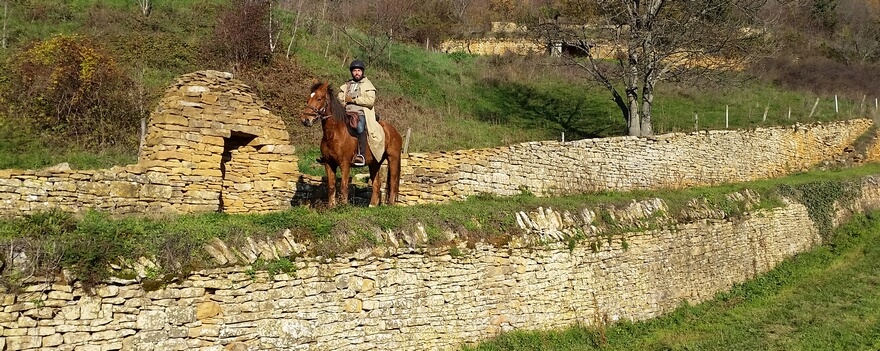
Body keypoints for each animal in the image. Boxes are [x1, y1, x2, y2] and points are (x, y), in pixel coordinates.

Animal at [300, 80, 402, 208]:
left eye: (319, 98)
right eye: (308, 99)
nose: (305, 120)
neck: (334, 133)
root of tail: (394, 131)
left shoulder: (345, 164)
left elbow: (344, 186)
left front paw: (343, 206)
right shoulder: (329, 163)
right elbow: (331, 186)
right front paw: (331, 207)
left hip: (393, 159)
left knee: (393, 182)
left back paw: (391, 205)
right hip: (374, 163)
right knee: (376, 183)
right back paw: (372, 205)